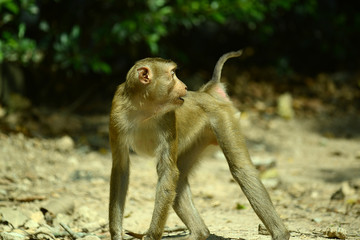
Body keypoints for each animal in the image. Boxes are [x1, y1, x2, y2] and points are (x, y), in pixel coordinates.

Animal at [109, 50, 290, 240]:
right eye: (172, 74)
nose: (185, 86)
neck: (144, 110)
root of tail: (207, 92)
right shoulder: (117, 114)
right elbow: (121, 169)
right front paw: (117, 235)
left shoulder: (167, 118)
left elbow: (167, 171)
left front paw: (151, 236)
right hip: (201, 138)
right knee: (180, 180)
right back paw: (200, 232)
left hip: (222, 117)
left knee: (241, 170)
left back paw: (281, 233)